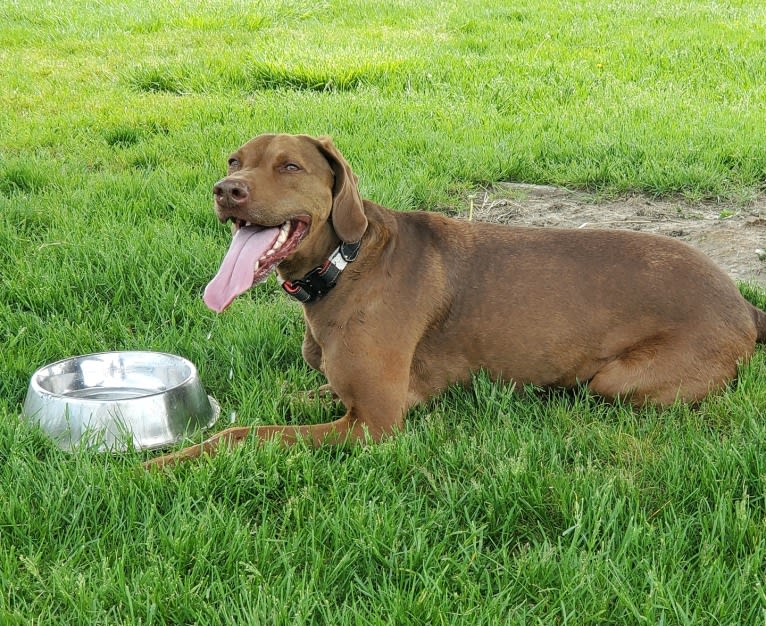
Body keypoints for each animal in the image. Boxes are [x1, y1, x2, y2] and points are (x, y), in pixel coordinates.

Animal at [146, 134, 766, 466]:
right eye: (234, 161)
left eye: (290, 166)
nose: (226, 191)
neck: (344, 265)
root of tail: (741, 301)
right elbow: (286, 396)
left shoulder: (375, 423)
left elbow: (241, 433)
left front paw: (161, 463)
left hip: (615, 380)